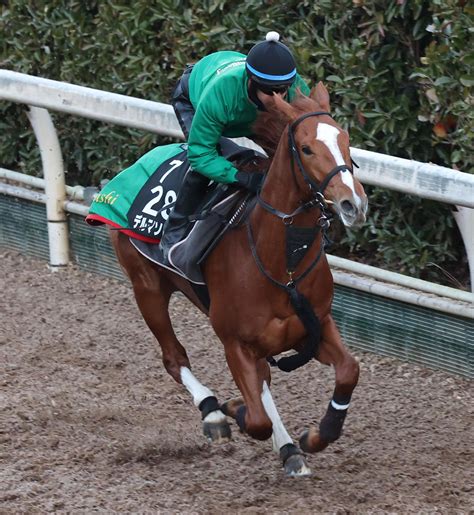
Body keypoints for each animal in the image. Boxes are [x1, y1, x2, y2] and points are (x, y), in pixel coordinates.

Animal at [109, 82, 368, 478]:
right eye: (307, 148)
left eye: (346, 139)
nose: (353, 203)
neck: (282, 265)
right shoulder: (234, 343)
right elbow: (257, 419)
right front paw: (231, 408)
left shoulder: (316, 325)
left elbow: (349, 371)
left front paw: (315, 436)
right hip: (146, 287)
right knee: (174, 357)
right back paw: (214, 412)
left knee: (261, 379)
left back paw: (288, 449)